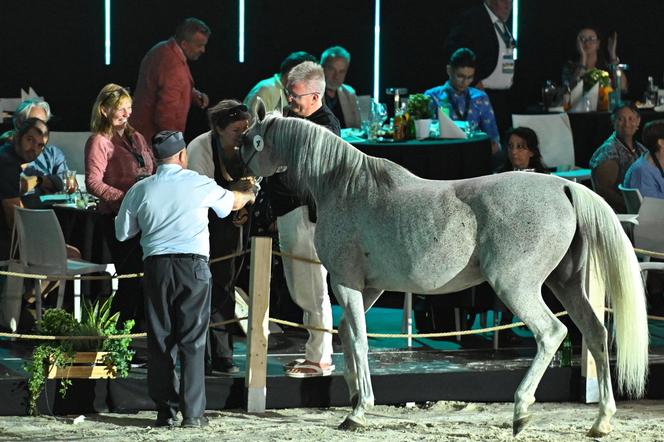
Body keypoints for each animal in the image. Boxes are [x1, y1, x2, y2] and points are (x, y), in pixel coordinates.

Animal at [240, 102, 648, 436]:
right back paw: (602, 419)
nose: (242, 184)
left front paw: (358, 411)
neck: (343, 185)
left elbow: (357, 339)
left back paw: (521, 410)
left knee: (551, 332)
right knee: (595, 333)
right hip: (567, 284)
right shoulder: (368, 288)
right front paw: (355, 397)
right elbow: (346, 333)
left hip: (517, 287)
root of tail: (565, 187)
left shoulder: (345, 282)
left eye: (247, 141)